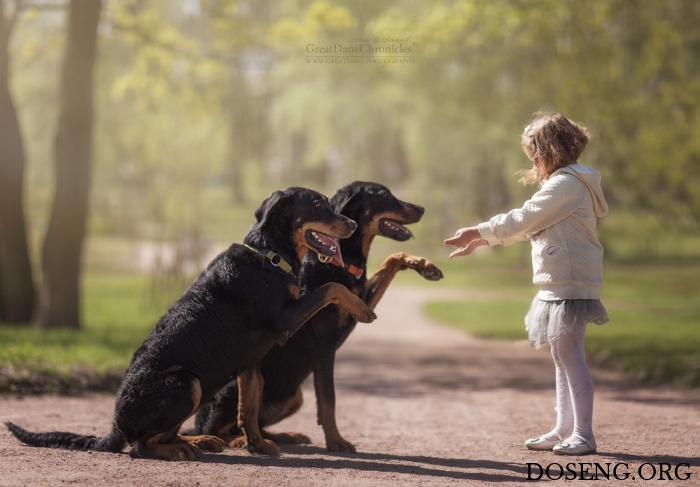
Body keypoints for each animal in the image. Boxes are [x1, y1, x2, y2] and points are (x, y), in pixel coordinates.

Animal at [6, 187, 378, 462]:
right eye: (318, 204)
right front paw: (362, 309)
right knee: (141, 447)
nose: (352, 224)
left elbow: (249, 407)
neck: (269, 257)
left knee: (166, 434)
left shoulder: (253, 360)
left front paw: (257, 444)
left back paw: (202, 440)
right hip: (187, 382)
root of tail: (114, 428)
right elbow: (332, 287)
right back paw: (182, 449)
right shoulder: (284, 321)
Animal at [191, 181, 442, 456]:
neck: (343, 260)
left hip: (293, 396)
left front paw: (424, 265)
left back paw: (284, 436)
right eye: (384, 194)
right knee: (220, 427)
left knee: (255, 423)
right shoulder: (324, 347)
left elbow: (390, 260)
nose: (421, 208)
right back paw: (232, 440)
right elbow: (328, 399)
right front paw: (336, 442)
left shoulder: (360, 301)